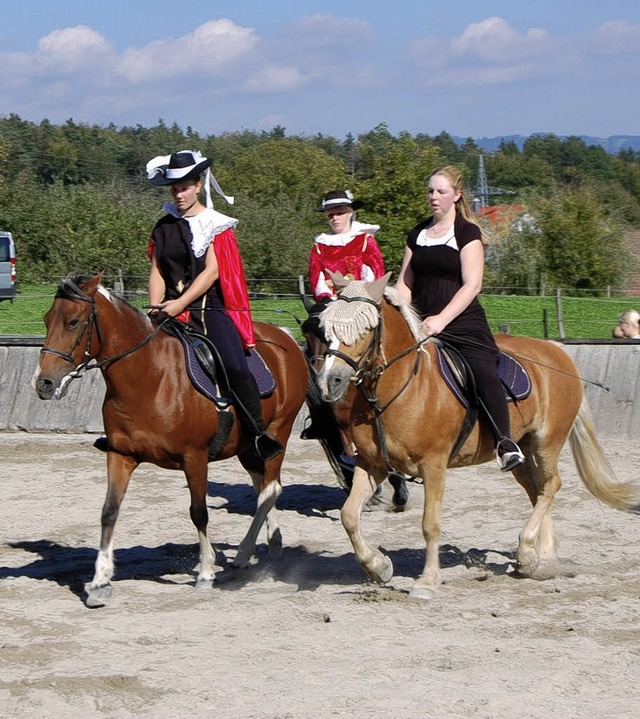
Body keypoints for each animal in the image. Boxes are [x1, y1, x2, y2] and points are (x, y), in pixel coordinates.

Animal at [35, 274, 310, 608]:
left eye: (73, 322)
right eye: (47, 319)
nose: (43, 383)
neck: (149, 377)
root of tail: (283, 337)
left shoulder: (195, 458)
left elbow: (199, 512)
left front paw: (205, 572)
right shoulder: (120, 455)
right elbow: (109, 511)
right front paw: (100, 581)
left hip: (277, 433)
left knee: (270, 490)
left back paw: (244, 553)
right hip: (247, 446)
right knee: (263, 488)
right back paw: (271, 543)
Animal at [316, 272, 640, 600]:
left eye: (365, 328)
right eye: (326, 330)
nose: (330, 382)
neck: (396, 391)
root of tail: (556, 350)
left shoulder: (434, 465)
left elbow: (430, 524)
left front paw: (427, 580)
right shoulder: (372, 465)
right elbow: (349, 516)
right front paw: (377, 566)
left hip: (547, 442)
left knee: (551, 486)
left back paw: (527, 551)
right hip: (521, 449)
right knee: (538, 490)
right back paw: (542, 560)